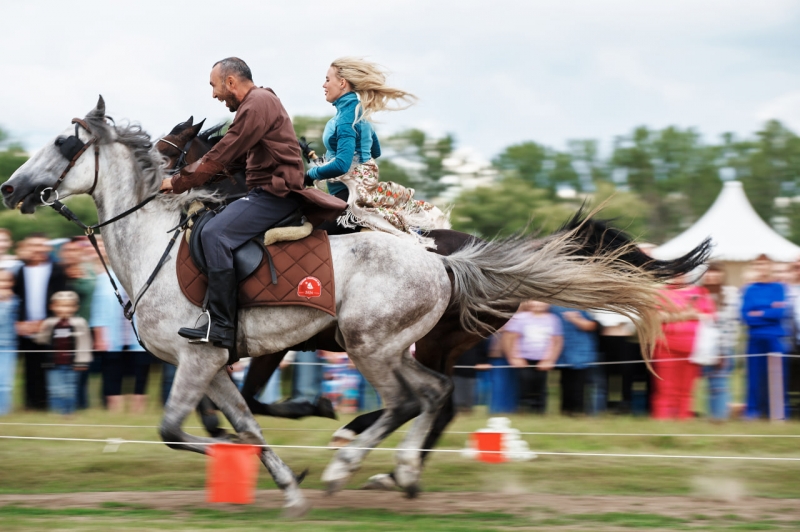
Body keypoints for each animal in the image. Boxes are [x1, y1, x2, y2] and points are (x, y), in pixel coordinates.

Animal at [3, 96, 708, 516]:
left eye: (65, 145)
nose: (10, 187)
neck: (157, 239)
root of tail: (444, 260)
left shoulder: (202, 359)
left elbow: (182, 429)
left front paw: (286, 456)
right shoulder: (214, 364)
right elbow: (244, 423)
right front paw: (285, 484)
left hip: (374, 346)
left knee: (410, 401)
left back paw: (353, 461)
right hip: (399, 347)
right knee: (432, 398)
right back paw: (395, 471)